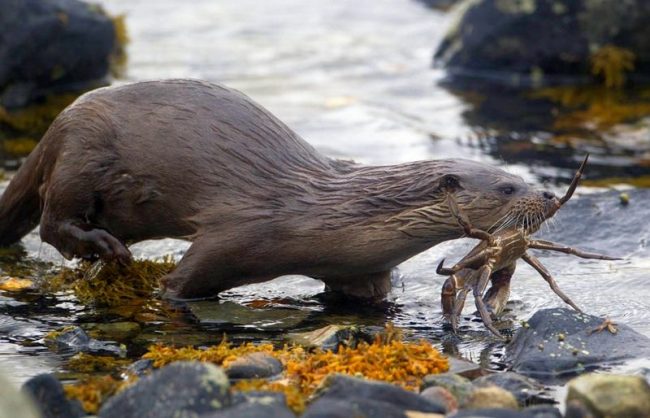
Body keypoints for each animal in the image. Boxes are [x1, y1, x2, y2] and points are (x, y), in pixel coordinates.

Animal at [0, 79, 556, 300]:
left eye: (520, 177)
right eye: (508, 187)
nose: (549, 195)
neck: (333, 218)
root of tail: (62, 119)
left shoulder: (364, 271)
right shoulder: (236, 236)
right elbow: (182, 283)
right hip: (84, 155)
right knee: (53, 222)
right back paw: (105, 248)